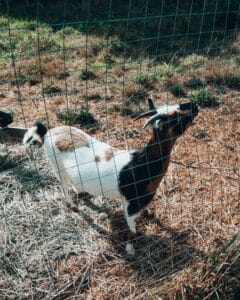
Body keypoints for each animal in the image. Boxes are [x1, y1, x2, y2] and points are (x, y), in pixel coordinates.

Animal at [23, 99, 199, 254]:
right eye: (174, 117)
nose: (194, 105)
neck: (141, 163)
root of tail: (47, 132)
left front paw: (148, 215)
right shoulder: (129, 203)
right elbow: (132, 229)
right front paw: (130, 249)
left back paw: (80, 191)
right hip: (56, 166)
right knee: (64, 187)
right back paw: (72, 205)